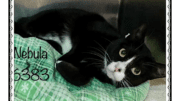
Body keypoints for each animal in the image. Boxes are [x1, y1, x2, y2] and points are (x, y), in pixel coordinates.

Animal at [14, 0, 165, 88]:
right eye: (123, 52)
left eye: (136, 71)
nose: (117, 69)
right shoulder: (88, 38)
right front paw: (61, 61)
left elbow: (85, 78)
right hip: (46, 19)